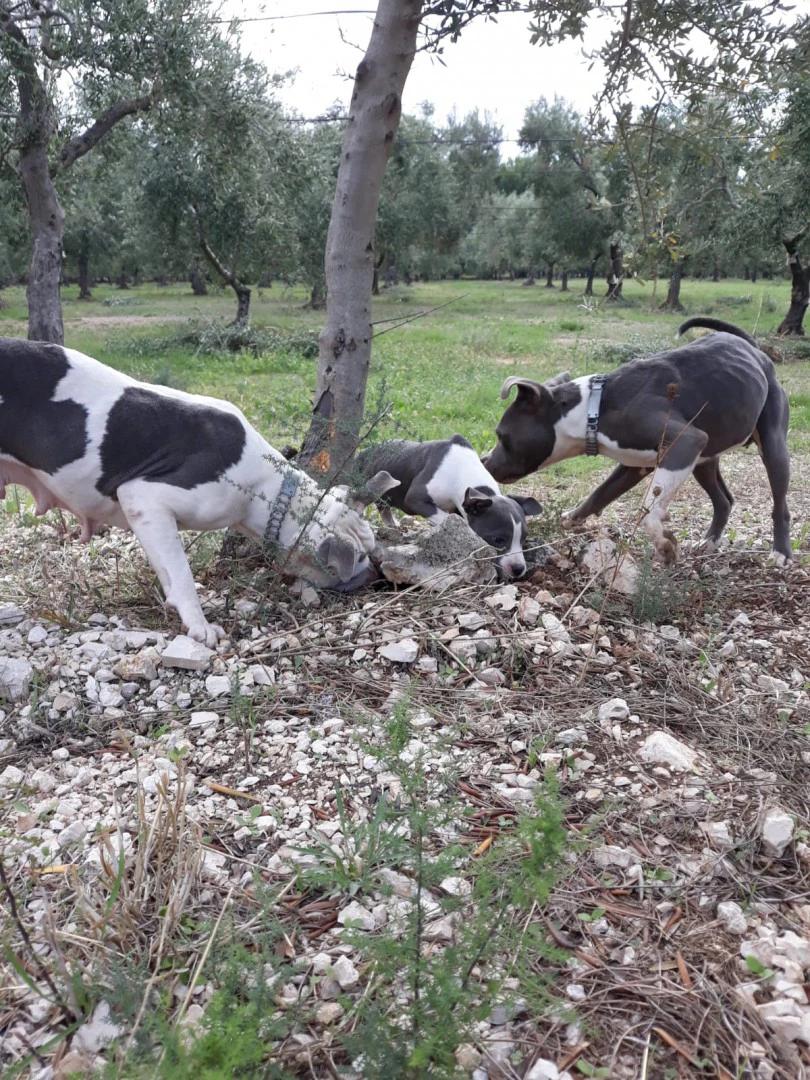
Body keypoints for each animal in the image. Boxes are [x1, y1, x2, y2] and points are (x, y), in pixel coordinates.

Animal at [0, 339, 397, 639]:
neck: (270, 491)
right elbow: (181, 574)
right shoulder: (145, 499)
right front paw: (201, 627)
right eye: (358, 560)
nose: (377, 578)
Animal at [356, 432, 542, 578]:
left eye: (524, 538)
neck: (463, 472)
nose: (518, 569)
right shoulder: (415, 499)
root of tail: (363, 451)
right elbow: (445, 517)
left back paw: (391, 524)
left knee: (383, 505)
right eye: (498, 539)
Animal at [481, 317, 794, 565]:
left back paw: (781, 553)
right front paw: (572, 518)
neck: (593, 408)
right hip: (705, 458)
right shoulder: (634, 464)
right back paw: (709, 541)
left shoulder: (686, 441)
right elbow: (600, 493)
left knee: (779, 504)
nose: (484, 461)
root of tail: (755, 350)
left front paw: (665, 544)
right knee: (723, 500)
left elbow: (650, 512)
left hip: (772, 445)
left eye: (501, 435)